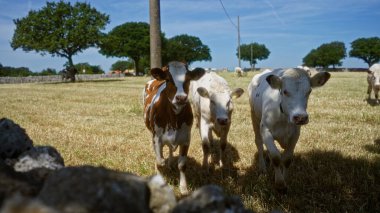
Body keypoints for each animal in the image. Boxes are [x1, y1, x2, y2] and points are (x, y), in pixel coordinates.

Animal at [144, 60, 206, 194]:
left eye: (188, 79)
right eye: (168, 79)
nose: (181, 98)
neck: (174, 118)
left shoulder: (186, 139)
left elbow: (182, 165)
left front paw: (183, 188)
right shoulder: (157, 138)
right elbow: (160, 161)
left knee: (171, 150)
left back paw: (171, 163)